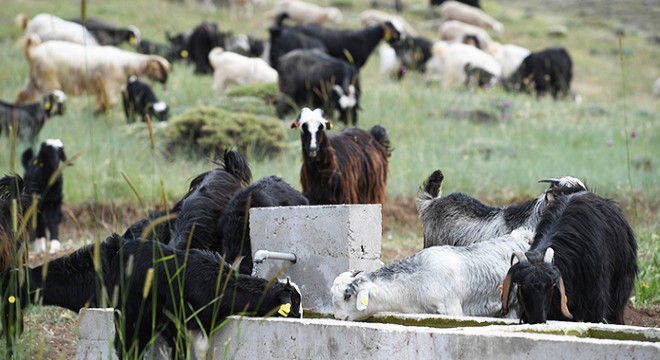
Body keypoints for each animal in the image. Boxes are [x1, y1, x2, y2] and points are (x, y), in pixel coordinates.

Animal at [17, 34, 169, 114]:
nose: (165, 82)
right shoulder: (108, 86)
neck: (127, 64)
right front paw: (97, 112)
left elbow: (105, 102)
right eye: (162, 69)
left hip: (34, 81)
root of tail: (34, 53)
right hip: (48, 82)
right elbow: (110, 103)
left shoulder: (101, 88)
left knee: (22, 95)